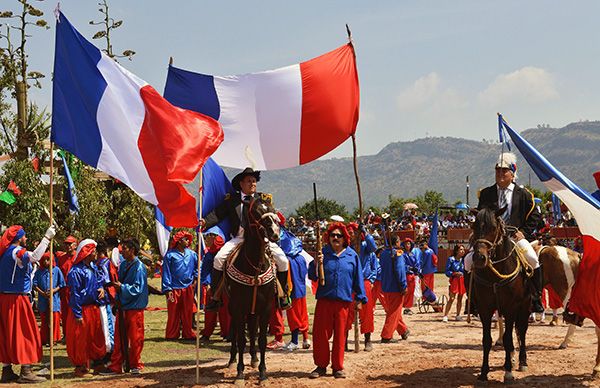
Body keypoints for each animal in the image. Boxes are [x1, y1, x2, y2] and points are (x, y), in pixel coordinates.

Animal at [225, 197, 282, 382]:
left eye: (272, 209)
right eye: (256, 212)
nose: (275, 233)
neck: (254, 267)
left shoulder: (265, 308)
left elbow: (261, 339)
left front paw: (262, 372)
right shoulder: (238, 307)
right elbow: (241, 339)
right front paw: (239, 373)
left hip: (253, 310)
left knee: (252, 330)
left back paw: (254, 359)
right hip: (234, 308)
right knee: (236, 332)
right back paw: (232, 360)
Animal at [472, 208, 532, 384]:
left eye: (493, 228)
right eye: (474, 226)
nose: (479, 258)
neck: (495, 276)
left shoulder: (511, 307)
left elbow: (507, 338)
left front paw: (508, 372)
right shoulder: (485, 308)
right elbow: (487, 340)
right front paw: (484, 372)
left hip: (524, 306)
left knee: (522, 331)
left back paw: (522, 361)